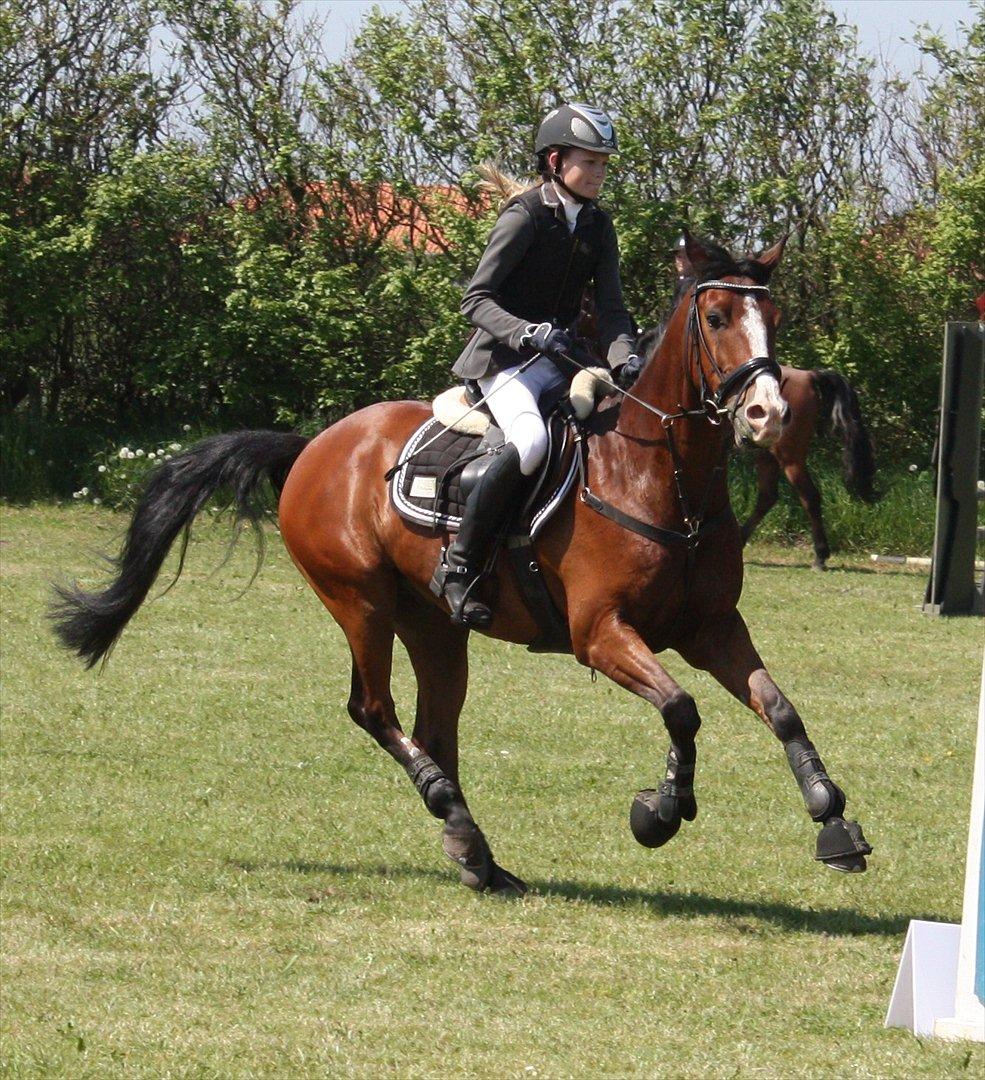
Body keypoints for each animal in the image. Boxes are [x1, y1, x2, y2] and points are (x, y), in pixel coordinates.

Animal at [738, 366, 878, 569]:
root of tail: (809, 375)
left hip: (789, 457)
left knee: (809, 496)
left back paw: (820, 555)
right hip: (769, 455)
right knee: (768, 497)